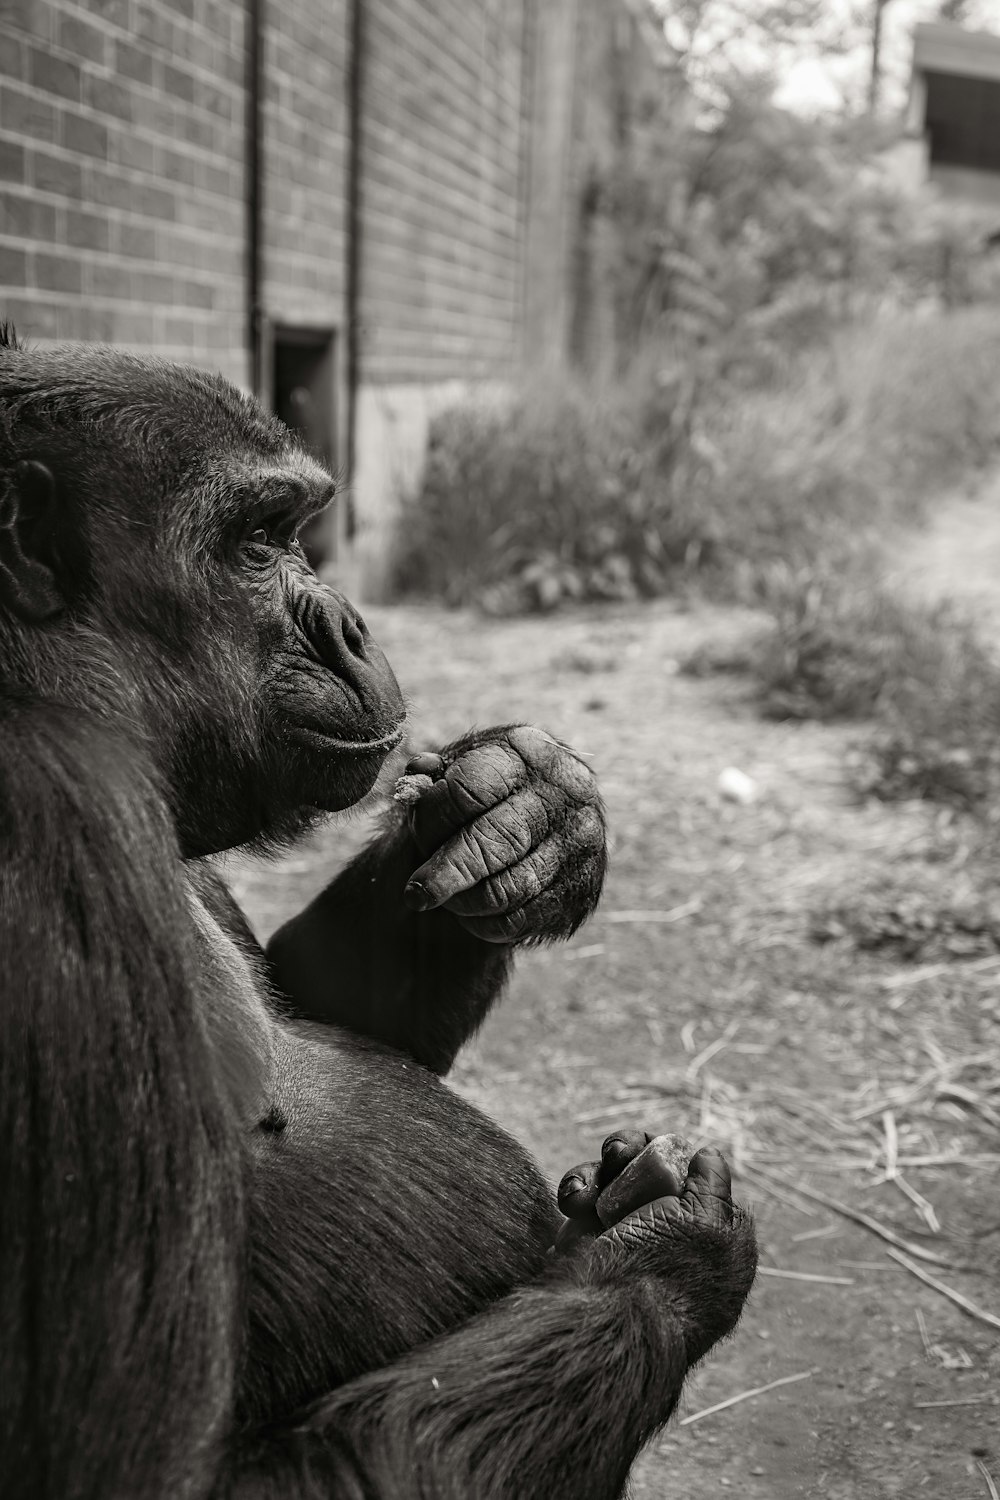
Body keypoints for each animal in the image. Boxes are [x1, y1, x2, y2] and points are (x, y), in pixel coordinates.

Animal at [0, 328, 755, 1500]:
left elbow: (329, 998)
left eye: (290, 532)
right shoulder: (55, 820)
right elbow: (144, 1470)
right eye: (255, 545)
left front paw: (534, 799)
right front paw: (664, 1250)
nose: (350, 627)